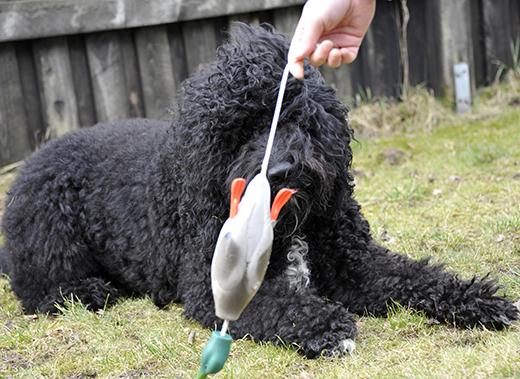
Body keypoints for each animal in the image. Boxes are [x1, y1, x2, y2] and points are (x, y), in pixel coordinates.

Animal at [2, 24, 516, 360]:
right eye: (241, 129)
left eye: (296, 114)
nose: (284, 169)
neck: (292, 225)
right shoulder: (211, 285)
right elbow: (279, 305)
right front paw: (325, 325)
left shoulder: (353, 263)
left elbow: (414, 276)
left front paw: (477, 299)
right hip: (49, 233)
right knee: (37, 288)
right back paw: (89, 290)